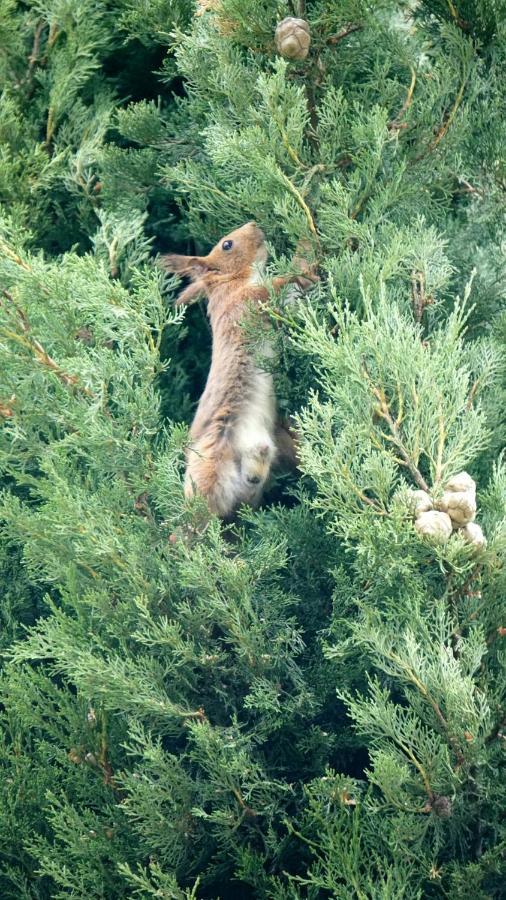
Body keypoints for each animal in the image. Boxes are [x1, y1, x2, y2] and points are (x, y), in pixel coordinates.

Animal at [160, 220, 316, 520]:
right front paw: (307, 242)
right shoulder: (252, 302)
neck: (230, 284)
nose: (254, 224)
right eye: (227, 244)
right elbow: (290, 279)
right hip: (209, 470)